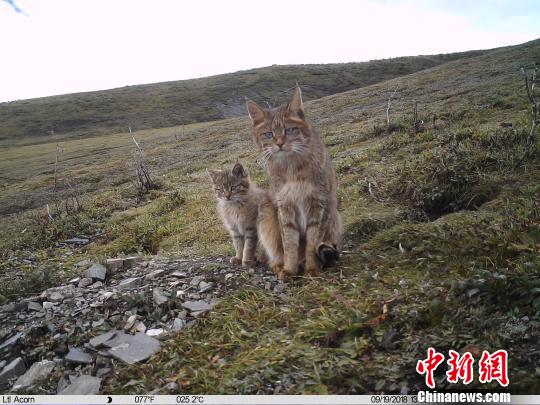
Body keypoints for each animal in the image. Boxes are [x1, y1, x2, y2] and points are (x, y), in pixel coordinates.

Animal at [246, 87, 342, 280]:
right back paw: (278, 265)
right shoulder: (285, 207)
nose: (279, 143)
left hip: (335, 215)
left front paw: (312, 268)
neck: (292, 169)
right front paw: (289, 269)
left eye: (289, 130)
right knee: (272, 254)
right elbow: (289, 243)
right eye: (269, 134)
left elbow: (312, 243)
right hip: (266, 212)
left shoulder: (319, 205)